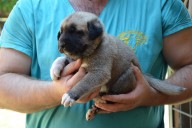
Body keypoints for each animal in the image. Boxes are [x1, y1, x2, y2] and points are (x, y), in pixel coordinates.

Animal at [50, 11, 185, 120]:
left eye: (76, 32)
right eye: (60, 32)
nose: (61, 45)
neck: (89, 52)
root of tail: (142, 74)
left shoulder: (100, 72)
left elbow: (83, 83)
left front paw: (70, 95)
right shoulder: (73, 61)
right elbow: (62, 58)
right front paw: (55, 69)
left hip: (126, 76)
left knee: (112, 97)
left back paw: (103, 98)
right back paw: (94, 110)